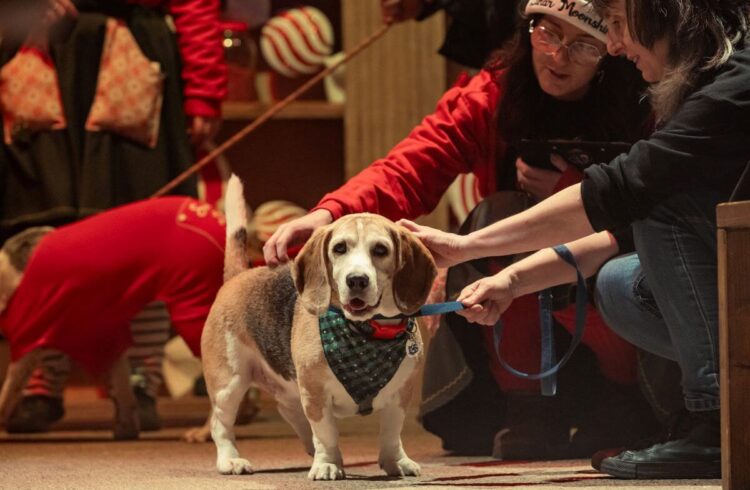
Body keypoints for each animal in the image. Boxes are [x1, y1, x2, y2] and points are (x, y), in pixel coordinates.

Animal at [204, 175, 440, 478]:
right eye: (339, 248)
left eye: (380, 250)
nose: (357, 280)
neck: (367, 332)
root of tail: (239, 275)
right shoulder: (315, 393)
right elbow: (326, 433)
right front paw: (328, 463)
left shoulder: (400, 395)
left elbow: (391, 432)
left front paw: (395, 461)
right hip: (229, 383)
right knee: (220, 424)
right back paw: (231, 460)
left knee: (290, 411)